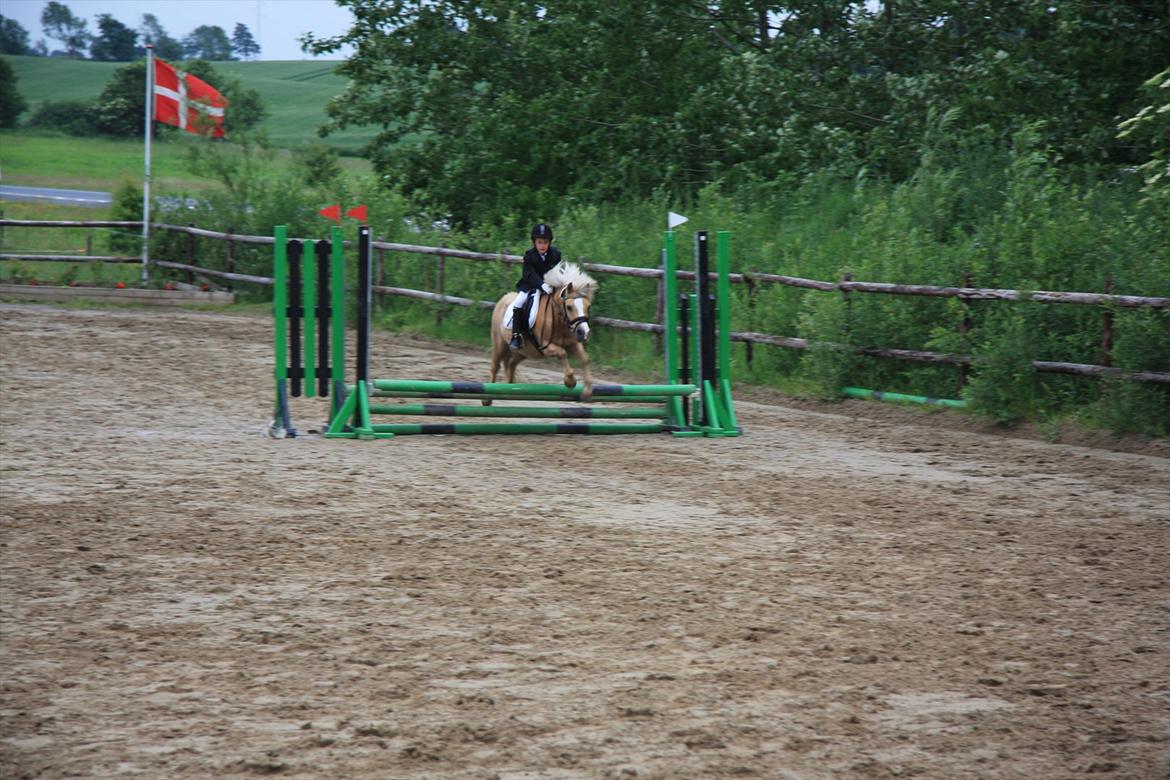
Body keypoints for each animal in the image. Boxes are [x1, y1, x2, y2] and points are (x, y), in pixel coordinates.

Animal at [489, 265, 599, 402]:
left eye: (588, 306)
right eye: (569, 307)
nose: (583, 332)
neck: (560, 322)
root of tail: (504, 298)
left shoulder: (573, 344)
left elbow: (585, 358)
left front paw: (587, 391)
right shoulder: (546, 346)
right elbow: (562, 353)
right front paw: (570, 382)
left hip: (524, 351)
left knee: (511, 364)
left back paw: (509, 389)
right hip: (500, 344)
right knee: (495, 366)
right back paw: (487, 399)